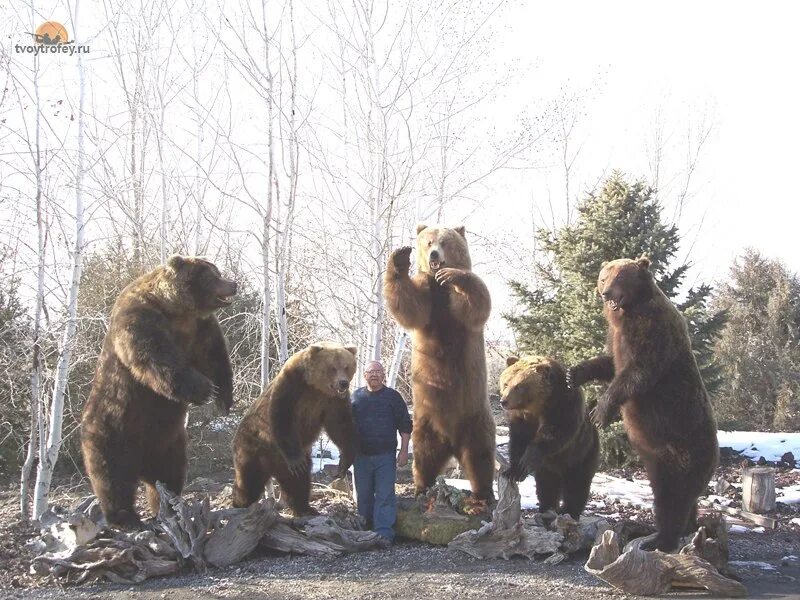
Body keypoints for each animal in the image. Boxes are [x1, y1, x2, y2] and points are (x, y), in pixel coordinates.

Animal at [81, 255, 238, 528]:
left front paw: (222, 398)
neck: (178, 310)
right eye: (212, 275)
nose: (234, 283)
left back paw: (168, 506)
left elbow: (214, 356)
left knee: (168, 477)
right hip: (112, 431)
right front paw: (203, 389)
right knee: (113, 478)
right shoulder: (140, 318)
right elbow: (155, 355)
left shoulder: (200, 328)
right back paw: (124, 516)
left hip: (168, 443)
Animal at [231, 342, 356, 516]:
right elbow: (283, 417)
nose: (343, 383)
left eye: (347, 366)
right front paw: (296, 460)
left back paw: (305, 508)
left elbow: (340, 426)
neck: (315, 386)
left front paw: (343, 463)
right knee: (249, 481)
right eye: (332, 367)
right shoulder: (292, 385)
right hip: (253, 447)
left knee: (299, 480)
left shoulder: (332, 401)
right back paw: (239, 503)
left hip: (288, 461)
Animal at [382, 224, 494, 502]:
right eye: (429, 242)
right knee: (424, 455)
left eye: (445, 242)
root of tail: (453, 443)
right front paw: (400, 257)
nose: (434, 255)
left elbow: (477, 302)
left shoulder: (457, 314)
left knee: (481, 455)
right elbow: (409, 306)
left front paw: (453, 275)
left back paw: (484, 493)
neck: (439, 288)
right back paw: (422, 487)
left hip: (476, 417)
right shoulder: (428, 299)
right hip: (426, 420)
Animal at [500, 354, 600, 516]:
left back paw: (569, 511)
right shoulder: (522, 420)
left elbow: (555, 434)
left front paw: (526, 460)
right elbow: (518, 441)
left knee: (577, 485)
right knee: (547, 485)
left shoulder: (564, 405)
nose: (504, 401)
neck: (537, 407)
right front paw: (513, 472)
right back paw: (547, 507)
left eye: (518, 386)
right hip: (548, 467)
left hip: (583, 453)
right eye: (506, 383)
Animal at [568, 255, 720, 552]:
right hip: (661, 460)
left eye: (619, 277)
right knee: (683, 498)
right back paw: (685, 527)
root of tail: (716, 455)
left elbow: (637, 373)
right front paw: (574, 373)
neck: (627, 314)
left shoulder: (652, 333)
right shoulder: (615, 338)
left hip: (681, 452)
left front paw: (599, 412)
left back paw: (660, 539)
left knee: (671, 499)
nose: (606, 293)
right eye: (603, 277)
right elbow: (608, 364)